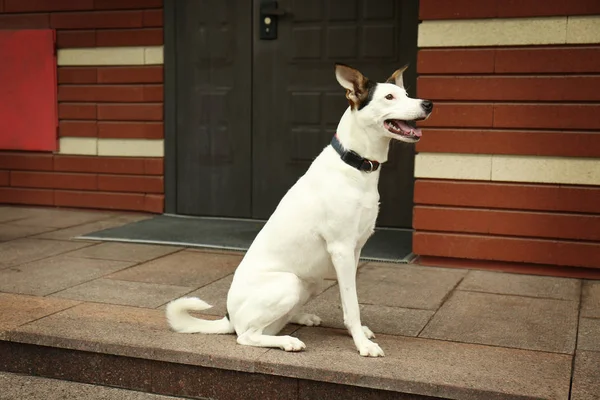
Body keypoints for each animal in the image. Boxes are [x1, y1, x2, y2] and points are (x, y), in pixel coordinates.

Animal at [166, 64, 434, 358]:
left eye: (406, 94)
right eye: (389, 97)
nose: (428, 103)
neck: (355, 165)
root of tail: (228, 317)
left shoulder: (355, 250)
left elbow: (349, 299)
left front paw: (359, 333)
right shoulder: (341, 249)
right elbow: (352, 305)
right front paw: (362, 344)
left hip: (312, 280)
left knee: (271, 324)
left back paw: (301, 318)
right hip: (288, 283)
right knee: (247, 336)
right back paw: (287, 341)